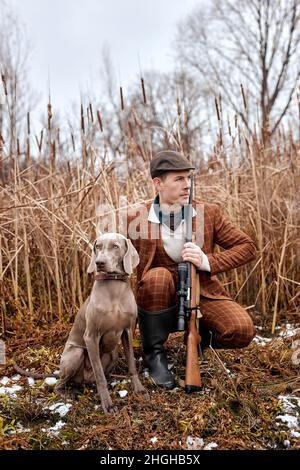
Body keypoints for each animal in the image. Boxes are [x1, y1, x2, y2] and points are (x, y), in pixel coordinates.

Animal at [55, 233, 149, 414]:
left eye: (115, 246)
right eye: (97, 246)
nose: (99, 263)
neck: (114, 285)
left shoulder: (128, 330)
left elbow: (132, 364)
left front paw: (139, 389)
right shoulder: (91, 336)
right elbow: (100, 376)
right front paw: (108, 404)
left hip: (113, 353)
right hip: (74, 353)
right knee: (61, 383)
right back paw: (68, 394)